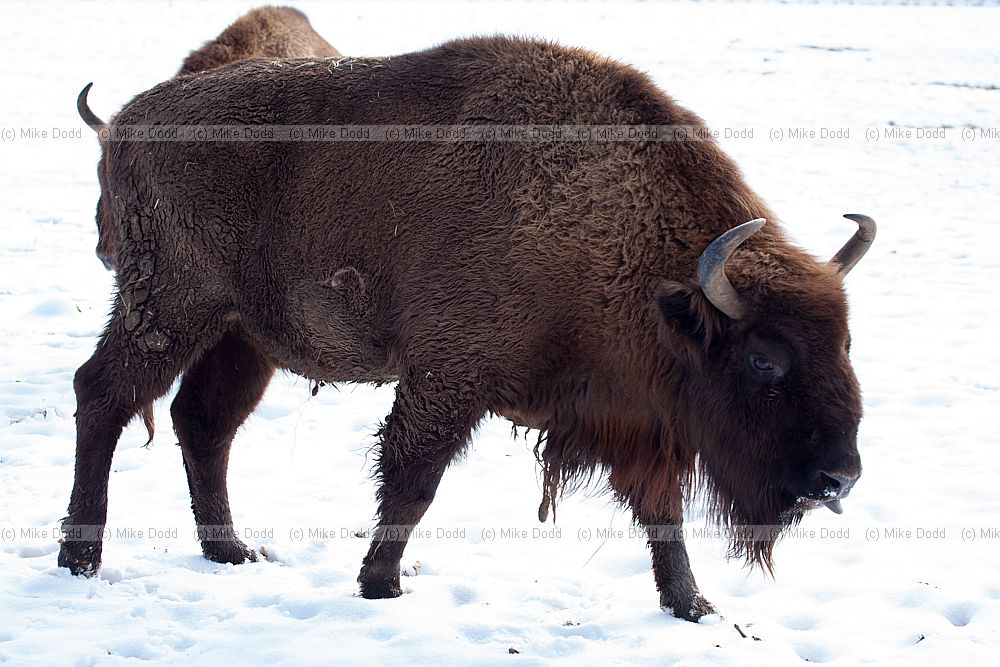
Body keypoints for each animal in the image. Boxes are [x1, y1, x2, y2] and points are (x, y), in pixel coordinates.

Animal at [63, 36, 874, 621]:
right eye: (764, 359)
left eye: (844, 343)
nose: (838, 478)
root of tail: (127, 125)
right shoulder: (450, 375)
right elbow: (413, 479)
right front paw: (381, 585)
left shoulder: (637, 419)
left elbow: (660, 513)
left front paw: (694, 605)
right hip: (169, 308)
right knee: (102, 394)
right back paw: (81, 560)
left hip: (240, 336)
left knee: (203, 422)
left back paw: (232, 552)